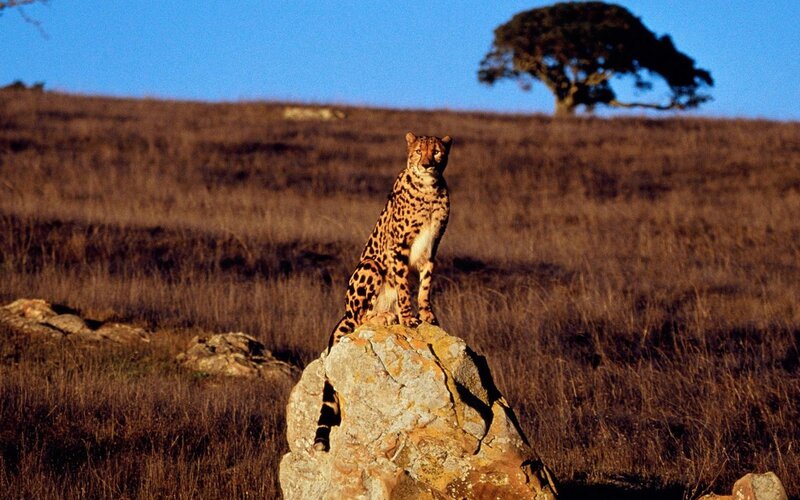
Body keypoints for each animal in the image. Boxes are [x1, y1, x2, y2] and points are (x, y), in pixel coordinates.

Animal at [313, 131, 453, 452]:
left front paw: (427, 315)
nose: (427, 164)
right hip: (370, 266)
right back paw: (385, 317)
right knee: (360, 318)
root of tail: (344, 312)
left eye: (437, 151)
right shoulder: (397, 248)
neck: (430, 190)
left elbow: (424, 286)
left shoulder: (432, 249)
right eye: (418, 151)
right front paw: (408, 317)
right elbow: (403, 286)